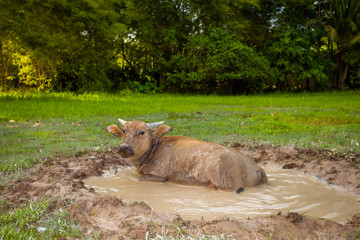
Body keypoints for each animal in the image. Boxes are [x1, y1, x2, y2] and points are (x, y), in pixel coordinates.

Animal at [105, 118, 266, 193]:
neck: (153, 150)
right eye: (124, 131)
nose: (124, 147)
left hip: (227, 185)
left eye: (142, 132)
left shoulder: (159, 176)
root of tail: (258, 167)